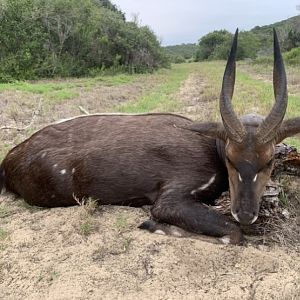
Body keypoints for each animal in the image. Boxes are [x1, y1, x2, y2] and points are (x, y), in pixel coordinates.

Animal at [0, 29, 300, 244]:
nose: (246, 213)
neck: (210, 147)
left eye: (269, 161)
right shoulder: (171, 198)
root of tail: (8, 161)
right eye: (230, 158)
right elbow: (233, 234)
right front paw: (151, 224)